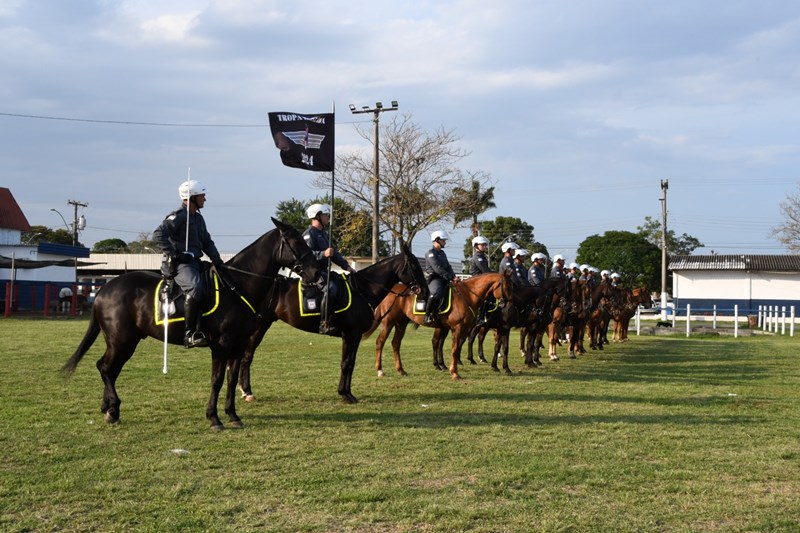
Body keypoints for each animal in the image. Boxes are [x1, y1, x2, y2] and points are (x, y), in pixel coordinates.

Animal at [61, 216, 322, 428]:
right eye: (296, 241)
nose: (316, 273)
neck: (236, 285)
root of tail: (105, 289)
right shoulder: (221, 346)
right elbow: (217, 380)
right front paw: (214, 418)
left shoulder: (237, 346)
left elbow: (231, 379)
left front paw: (232, 415)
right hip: (122, 341)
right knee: (106, 368)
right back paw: (113, 408)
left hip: (123, 342)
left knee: (108, 369)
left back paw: (109, 409)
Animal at [234, 243, 428, 402]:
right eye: (414, 265)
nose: (424, 290)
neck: (362, 290)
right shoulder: (351, 334)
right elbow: (346, 363)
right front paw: (345, 394)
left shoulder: (351, 336)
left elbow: (349, 362)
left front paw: (346, 392)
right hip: (260, 327)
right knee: (247, 356)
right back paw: (247, 392)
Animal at [364, 272, 510, 380]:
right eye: (507, 286)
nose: (506, 304)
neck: (467, 295)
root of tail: (391, 291)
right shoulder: (458, 329)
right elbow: (454, 349)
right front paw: (454, 372)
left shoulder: (462, 329)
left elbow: (455, 347)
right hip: (388, 323)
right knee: (380, 342)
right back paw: (380, 370)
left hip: (401, 324)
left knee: (395, 343)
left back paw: (401, 370)